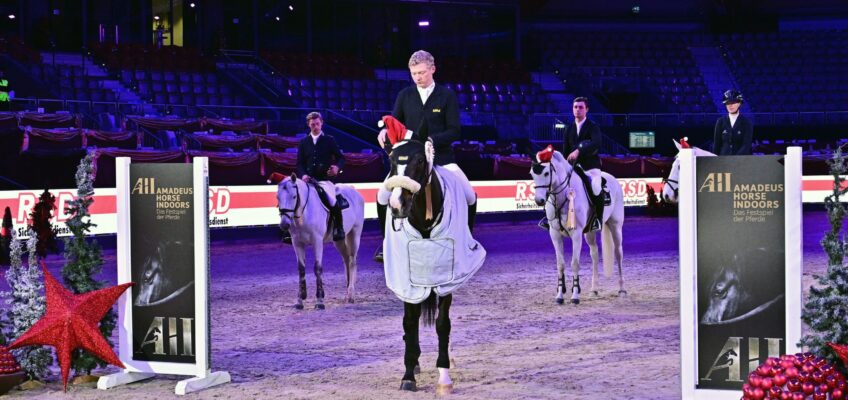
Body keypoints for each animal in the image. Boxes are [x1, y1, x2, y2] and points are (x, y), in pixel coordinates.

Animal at [274, 175, 362, 310]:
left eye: (294, 196)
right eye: (277, 197)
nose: (284, 224)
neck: (304, 213)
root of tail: (354, 191)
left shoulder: (317, 242)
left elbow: (317, 268)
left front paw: (320, 300)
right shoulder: (297, 243)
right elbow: (301, 269)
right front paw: (300, 300)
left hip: (354, 234)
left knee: (352, 261)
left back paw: (351, 295)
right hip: (339, 241)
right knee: (346, 260)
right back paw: (347, 293)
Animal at [532, 146, 628, 304]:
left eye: (546, 173)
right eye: (532, 174)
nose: (539, 200)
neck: (563, 196)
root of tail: (613, 179)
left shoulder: (576, 234)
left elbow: (574, 263)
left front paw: (575, 296)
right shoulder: (555, 234)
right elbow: (560, 264)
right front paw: (560, 295)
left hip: (615, 226)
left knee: (618, 254)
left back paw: (622, 289)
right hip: (589, 232)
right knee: (594, 254)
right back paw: (594, 290)